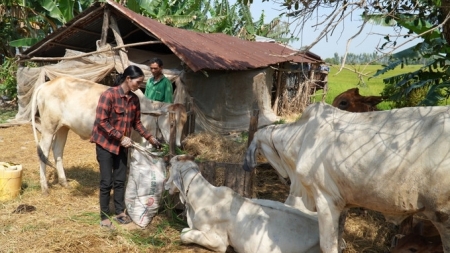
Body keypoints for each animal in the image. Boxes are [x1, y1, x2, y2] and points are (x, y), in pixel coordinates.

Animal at [30, 76, 186, 195]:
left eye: (184, 122)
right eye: (172, 121)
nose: (179, 144)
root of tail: (45, 85)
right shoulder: (136, 141)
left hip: (63, 127)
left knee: (57, 150)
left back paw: (64, 182)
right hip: (48, 127)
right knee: (43, 152)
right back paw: (45, 188)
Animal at [244, 103, 450, 253]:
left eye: (261, 151)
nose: (284, 180)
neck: (301, 139)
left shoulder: (325, 200)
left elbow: (328, 246)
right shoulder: (342, 203)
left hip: (443, 216)